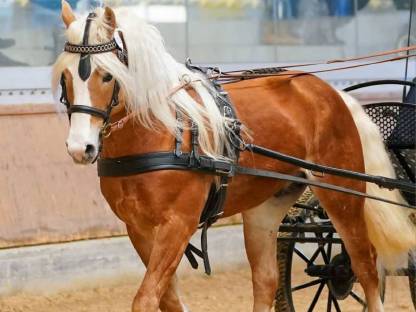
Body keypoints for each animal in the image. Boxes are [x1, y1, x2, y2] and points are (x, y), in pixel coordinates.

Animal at [52, 2, 416, 312]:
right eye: (65, 76)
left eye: (107, 75)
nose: (80, 147)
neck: (162, 132)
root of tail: (331, 93)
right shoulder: (138, 228)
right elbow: (167, 299)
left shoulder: (179, 222)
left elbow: (146, 299)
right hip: (265, 208)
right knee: (266, 280)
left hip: (342, 193)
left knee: (366, 267)